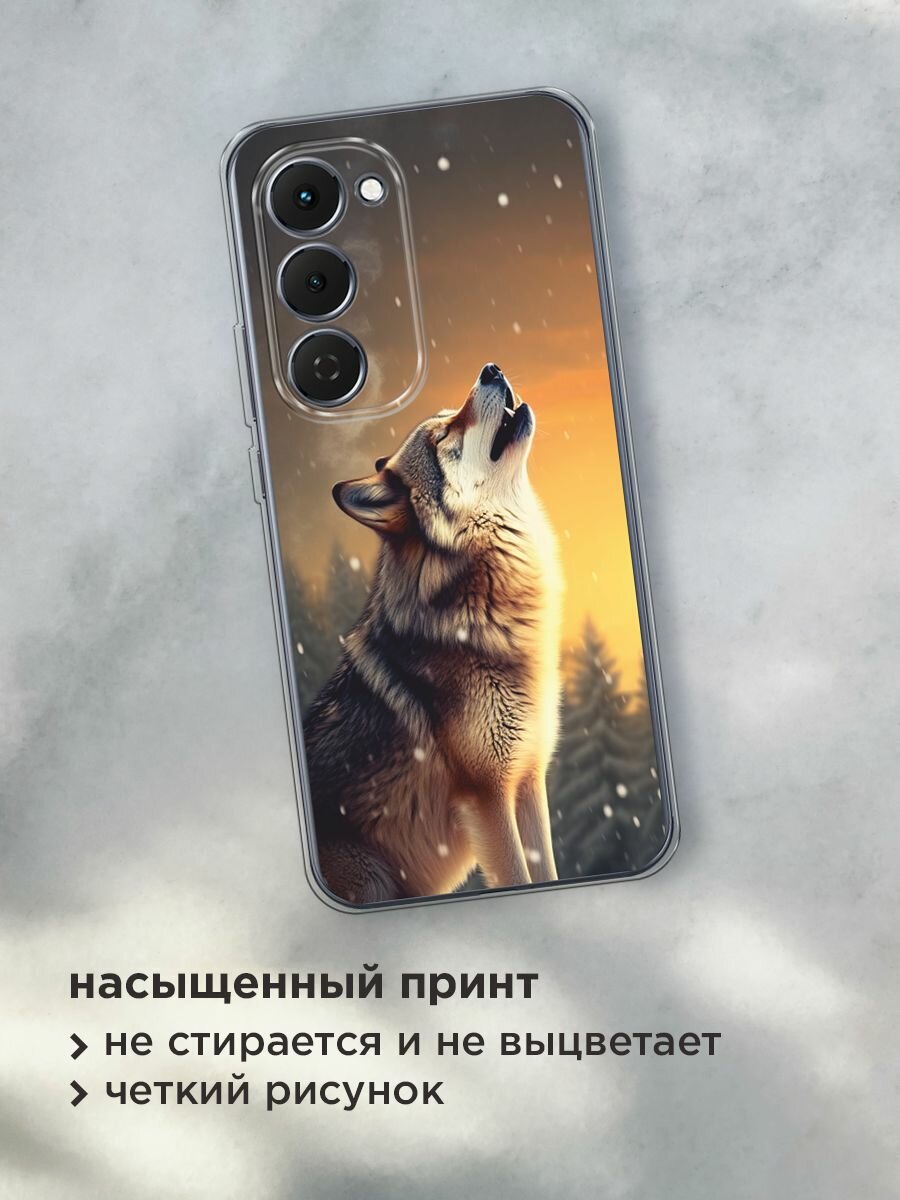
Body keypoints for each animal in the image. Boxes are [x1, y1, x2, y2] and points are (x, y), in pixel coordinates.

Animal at [304, 362, 563, 904]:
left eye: (450, 416)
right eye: (445, 436)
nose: (491, 369)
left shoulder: (528, 778)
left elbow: (547, 872)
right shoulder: (488, 794)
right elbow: (518, 877)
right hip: (374, 880)